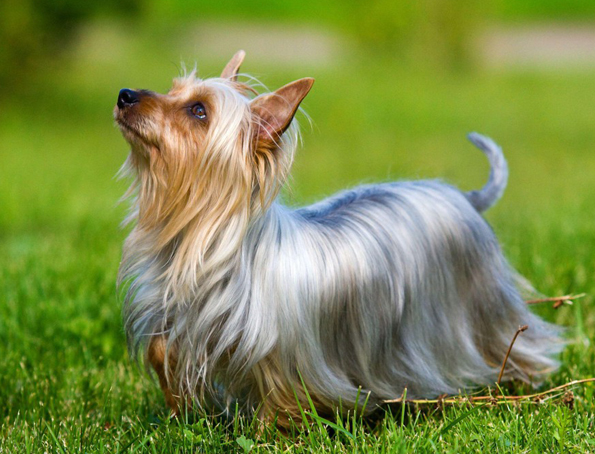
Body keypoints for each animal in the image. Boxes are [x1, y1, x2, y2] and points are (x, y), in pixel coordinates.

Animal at [115, 51, 564, 428]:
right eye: (172, 89)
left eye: (198, 111)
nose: (124, 95)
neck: (203, 240)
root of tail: (465, 198)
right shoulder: (177, 320)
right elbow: (163, 354)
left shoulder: (282, 357)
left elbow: (281, 395)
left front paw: (269, 434)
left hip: (482, 309)